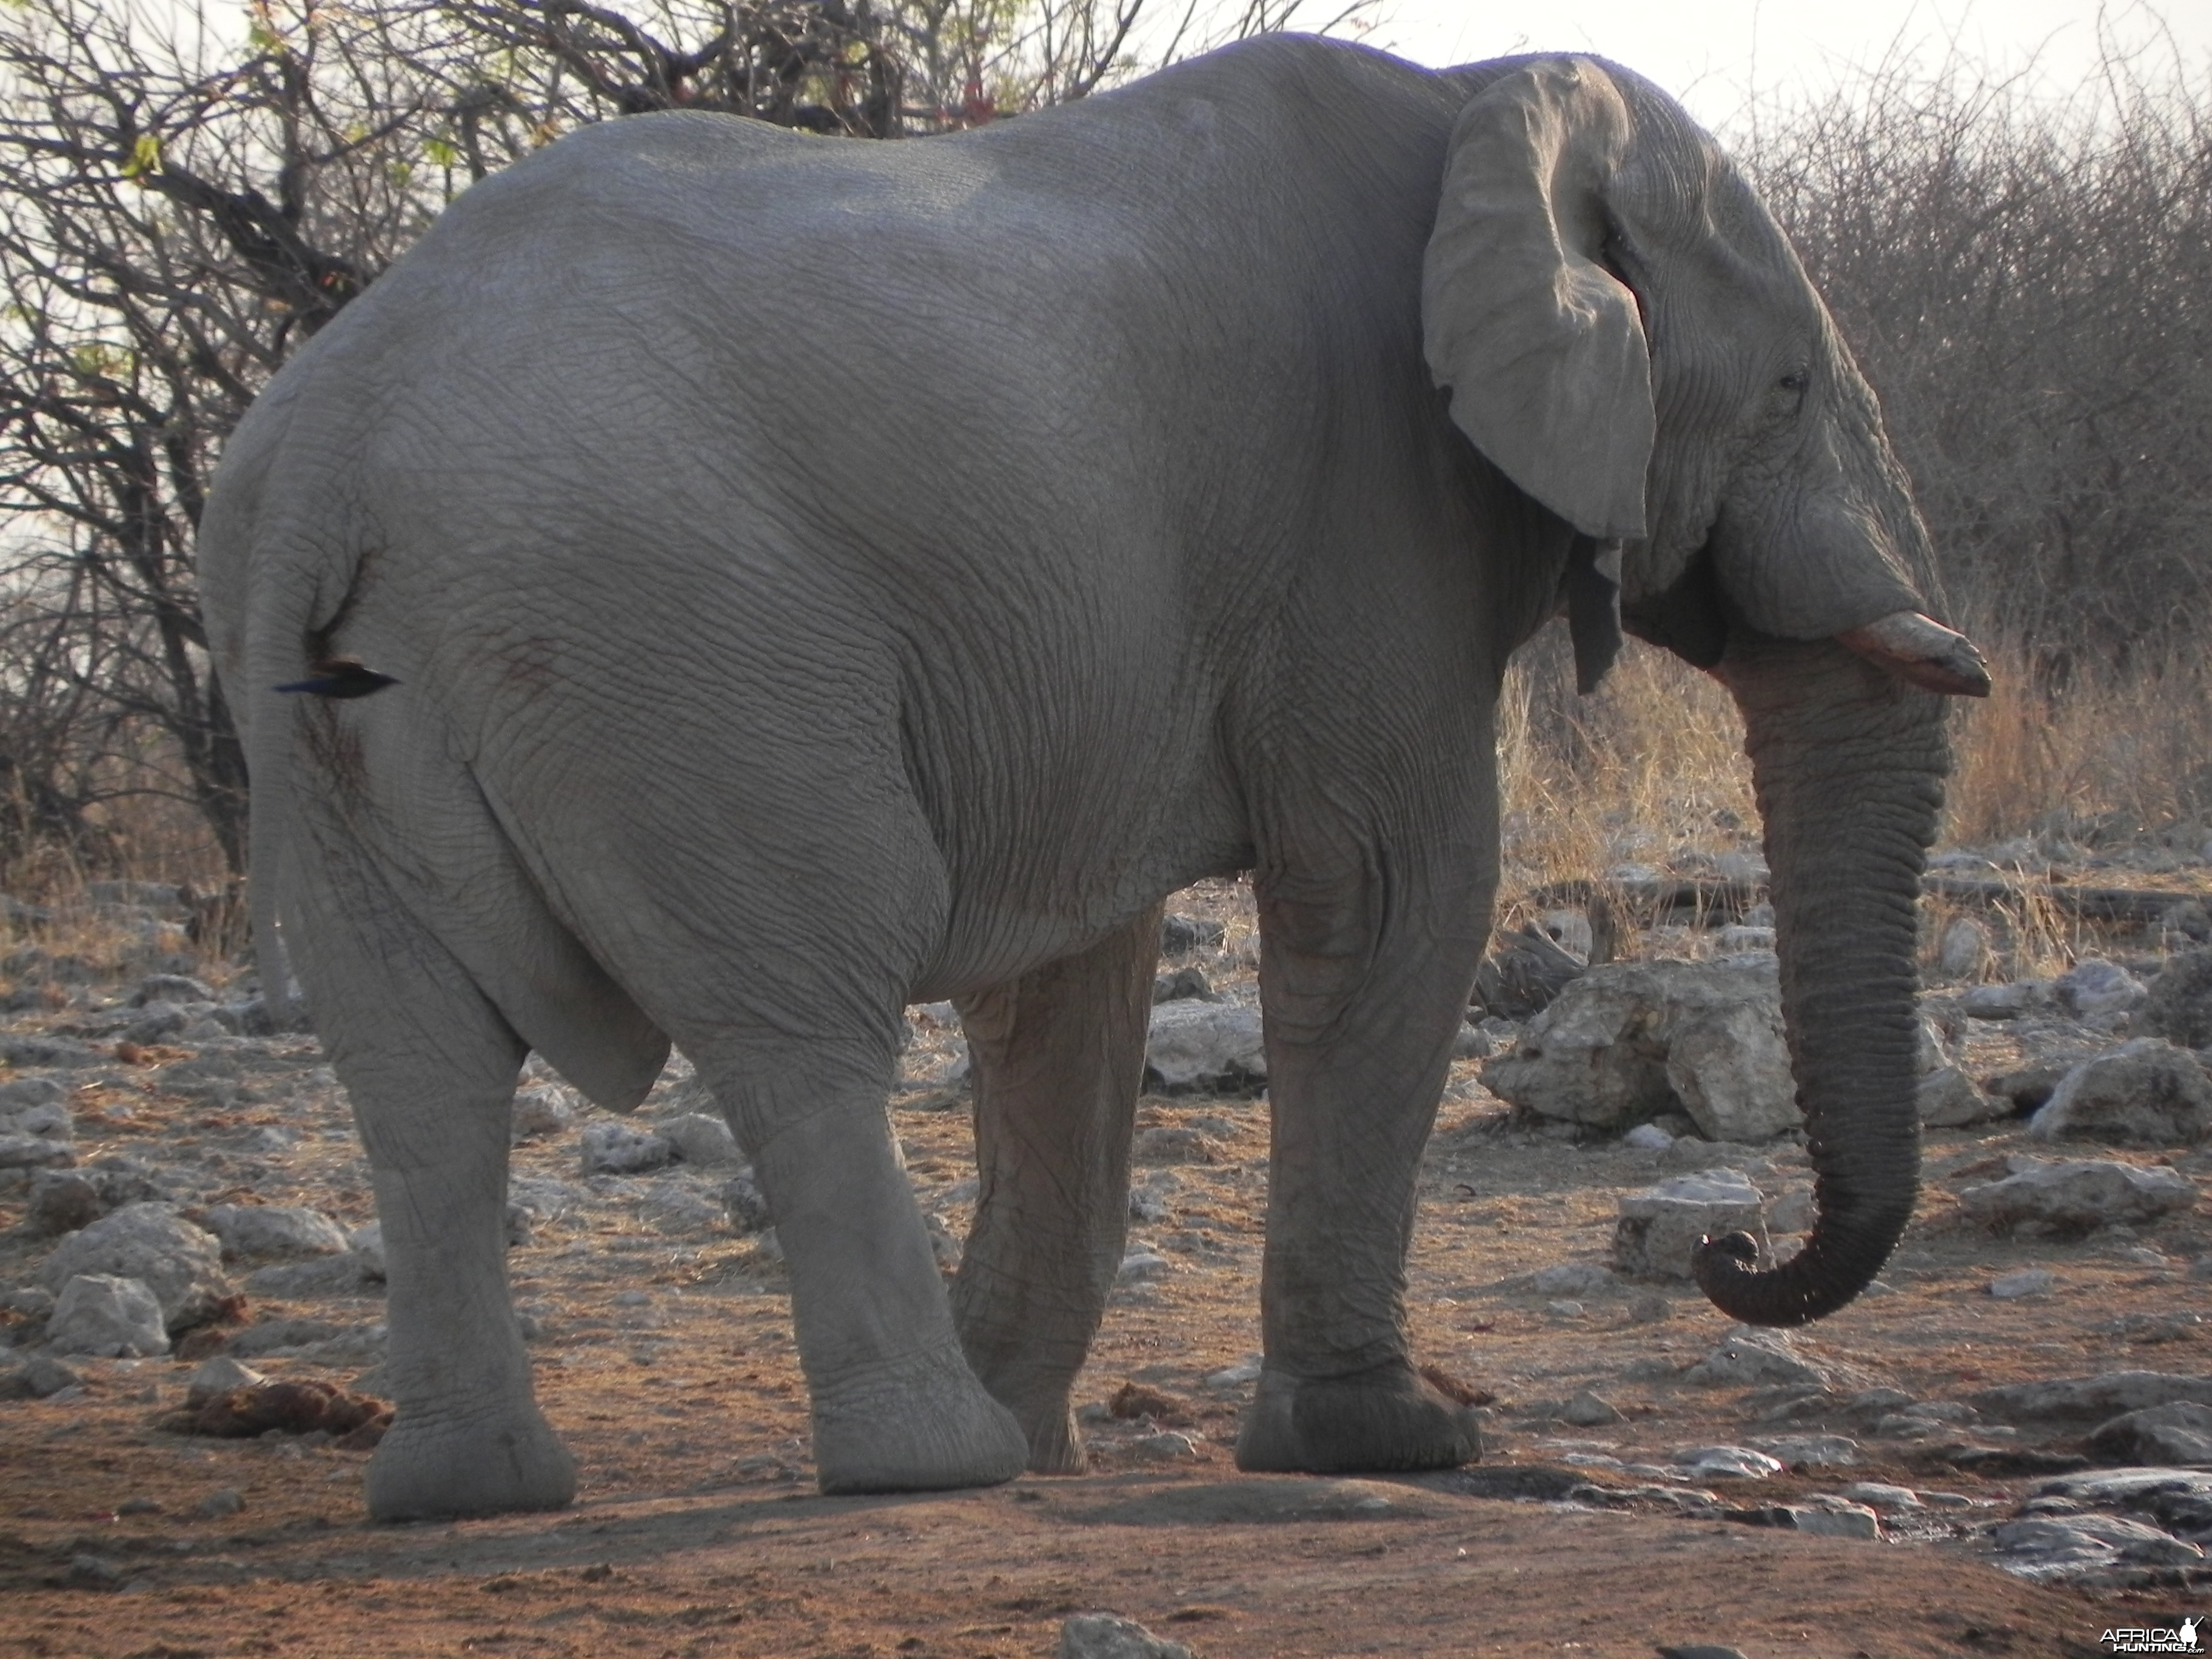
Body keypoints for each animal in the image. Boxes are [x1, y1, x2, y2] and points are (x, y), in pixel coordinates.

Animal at [199, 32, 1999, 1530]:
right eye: (1789, 388)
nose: (1727, 1247)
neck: (1488, 95)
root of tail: (331, 452)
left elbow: (1069, 976)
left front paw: (1054, 1428)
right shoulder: (1371, 505)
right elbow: (1389, 890)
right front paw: (1391, 1442)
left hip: (327, 715)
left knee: (419, 1071)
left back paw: (474, 1492)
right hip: (673, 648)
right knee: (800, 1019)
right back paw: (929, 1464)